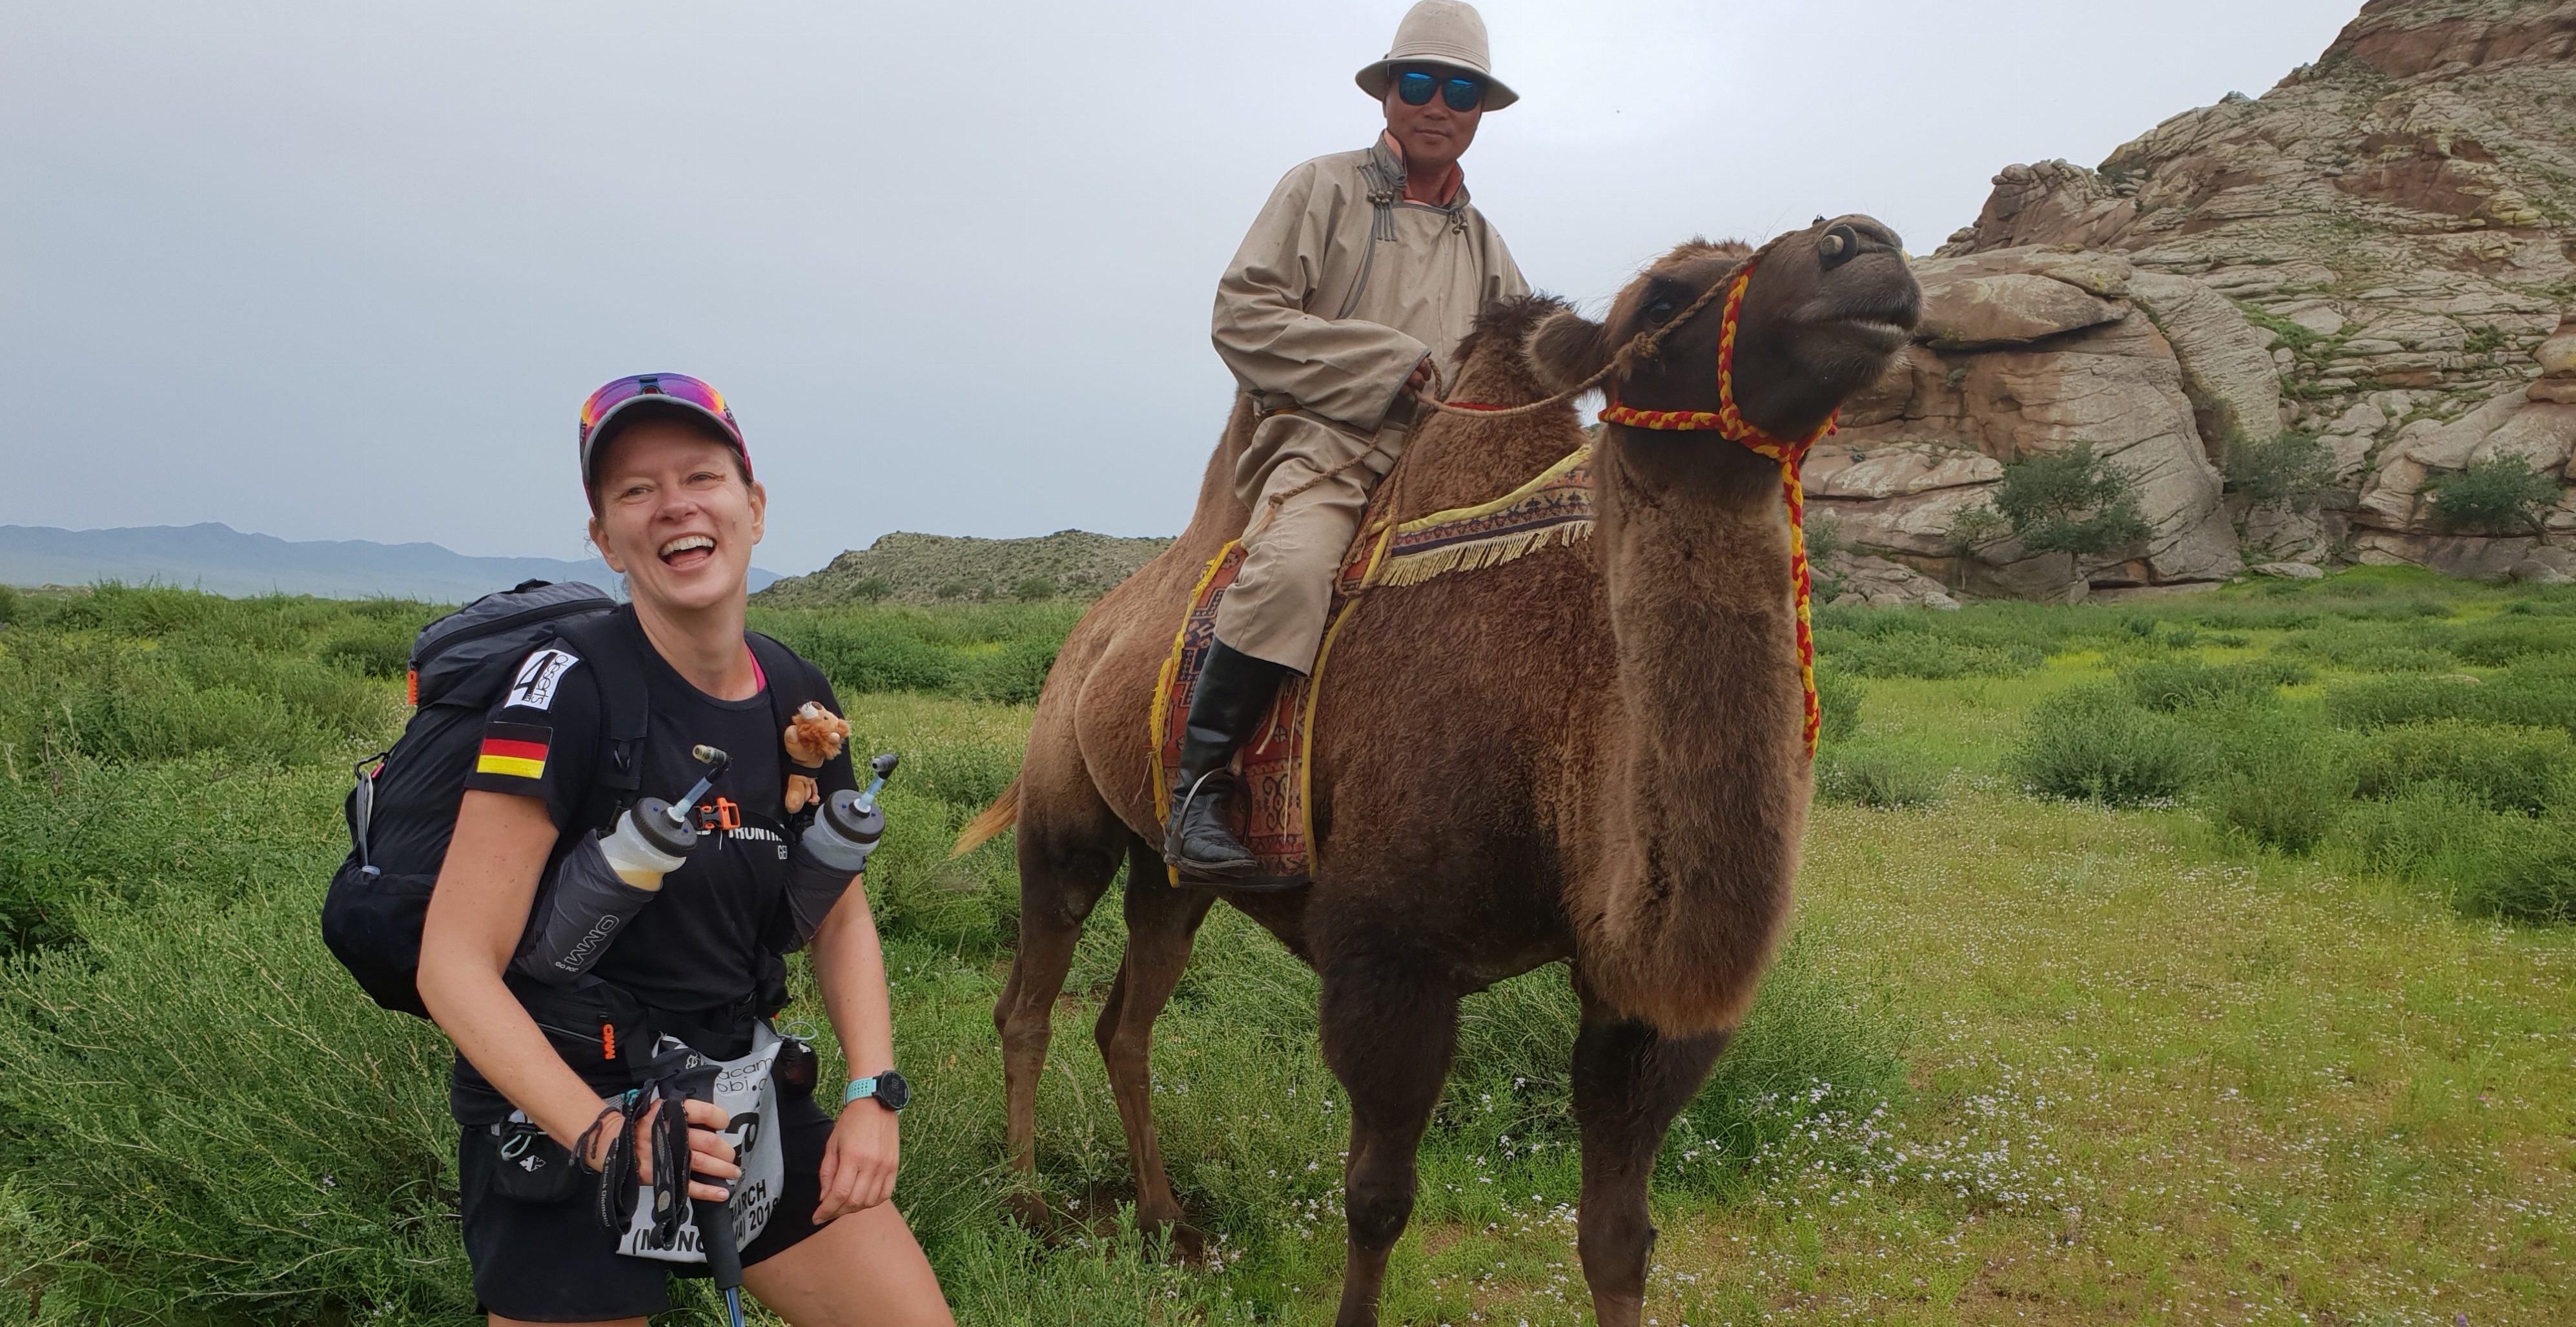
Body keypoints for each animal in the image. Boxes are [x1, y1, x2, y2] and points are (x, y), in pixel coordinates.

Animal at [958, 218, 1927, 1327]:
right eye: (1659, 296)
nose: (1865, 245)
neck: (1561, 734)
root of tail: (1092, 631)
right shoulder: (1391, 958)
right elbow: (1376, 1201)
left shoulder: (1638, 1012)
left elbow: (1618, 1236)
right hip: (1063, 811)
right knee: (1029, 997)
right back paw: (1027, 1206)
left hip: (1174, 875)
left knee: (1128, 1018)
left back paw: (1167, 1219)